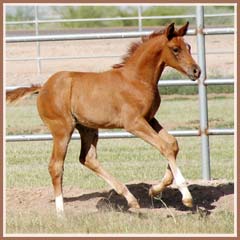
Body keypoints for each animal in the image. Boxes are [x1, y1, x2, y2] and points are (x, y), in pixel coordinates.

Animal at [6, 21, 201, 215]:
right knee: (56, 165)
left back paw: (131, 199)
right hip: (62, 130)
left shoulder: (150, 119)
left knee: (87, 158)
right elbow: (165, 147)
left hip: (88, 128)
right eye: (175, 49)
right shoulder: (134, 123)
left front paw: (154, 189)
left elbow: (173, 144)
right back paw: (61, 213)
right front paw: (186, 195)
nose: (196, 71)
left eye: (189, 47)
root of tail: (43, 87)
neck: (136, 79)